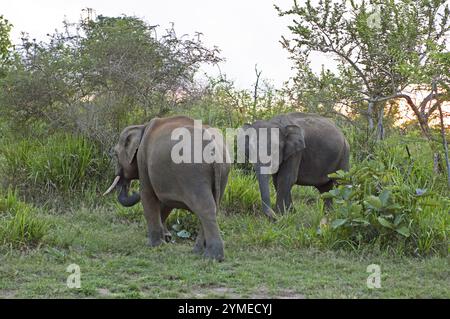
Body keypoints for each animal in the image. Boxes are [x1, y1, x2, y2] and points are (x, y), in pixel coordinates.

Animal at [103, 116, 230, 262]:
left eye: (115, 155)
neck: (141, 126)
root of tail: (214, 148)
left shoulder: (143, 159)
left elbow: (148, 195)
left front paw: (155, 244)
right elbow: (166, 203)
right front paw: (166, 238)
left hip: (194, 175)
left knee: (205, 208)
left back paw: (213, 257)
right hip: (223, 172)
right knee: (215, 206)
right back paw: (198, 252)